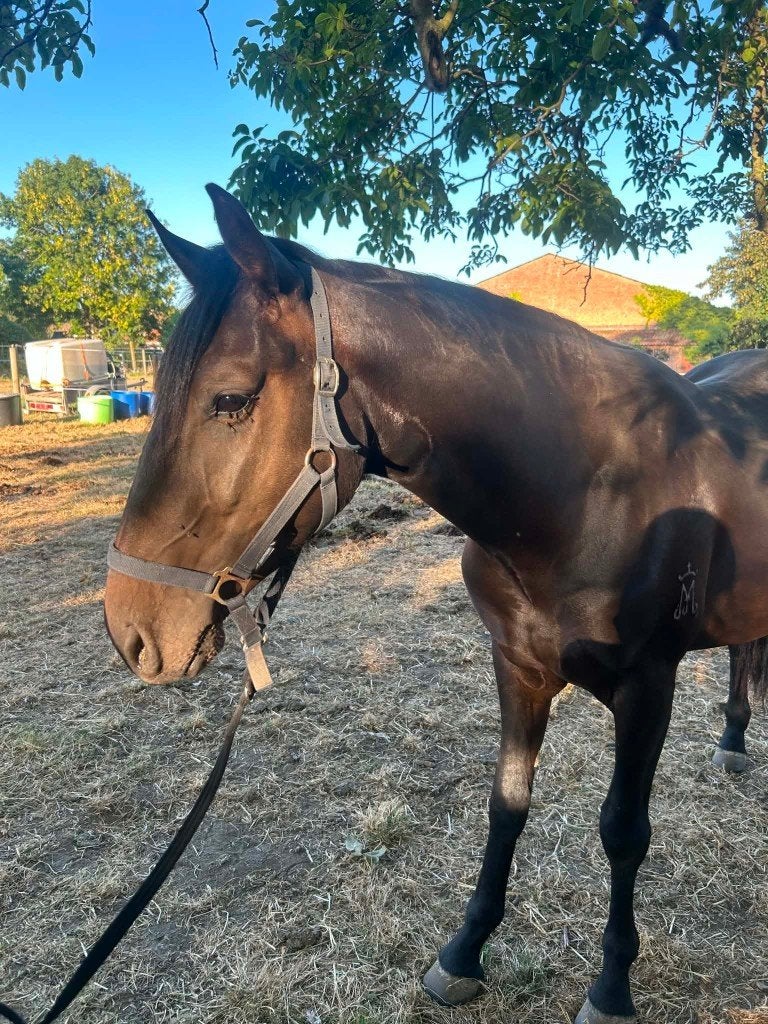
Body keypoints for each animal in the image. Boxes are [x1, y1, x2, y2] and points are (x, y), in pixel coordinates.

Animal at [104, 184, 768, 1024]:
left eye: (229, 400)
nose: (132, 631)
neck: (592, 490)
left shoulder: (648, 687)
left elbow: (624, 831)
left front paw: (612, 987)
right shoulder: (517, 667)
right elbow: (507, 804)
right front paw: (464, 952)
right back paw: (734, 740)